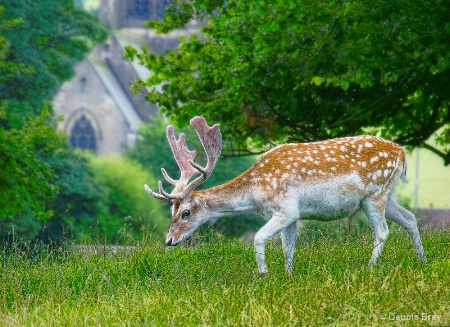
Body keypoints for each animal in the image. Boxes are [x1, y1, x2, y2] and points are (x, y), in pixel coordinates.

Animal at [145, 116, 428, 276]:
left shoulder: (286, 209)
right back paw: (422, 260)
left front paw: (263, 274)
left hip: (375, 194)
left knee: (382, 231)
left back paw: (369, 268)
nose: (170, 240)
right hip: (386, 195)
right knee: (409, 218)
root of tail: (402, 153)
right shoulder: (293, 215)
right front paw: (288, 276)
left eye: (186, 212)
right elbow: (288, 248)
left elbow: (259, 237)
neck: (256, 192)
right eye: (171, 211)